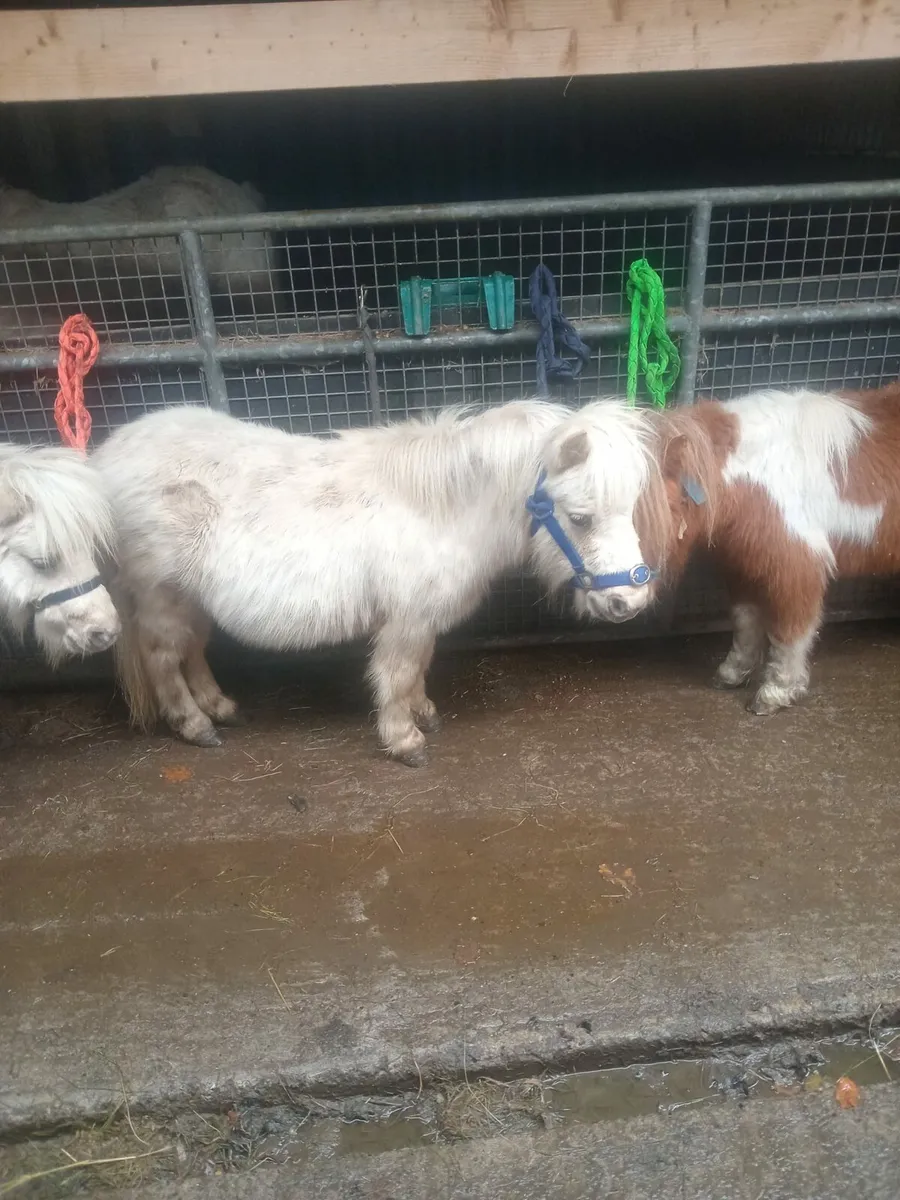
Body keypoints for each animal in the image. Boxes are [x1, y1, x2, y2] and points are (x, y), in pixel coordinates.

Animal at [90, 399, 661, 764]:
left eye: (630, 506)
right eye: (581, 517)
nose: (630, 600)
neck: (440, 509)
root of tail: (110, 457)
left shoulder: (422, 619)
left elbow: (419, 670)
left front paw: (423, 713)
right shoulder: (407, 620)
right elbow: (397, 673)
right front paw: (404, 740)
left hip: (191, 599)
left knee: (193, 650)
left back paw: (221, 708)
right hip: (161, 598)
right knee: (163, 659)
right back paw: (196, 726)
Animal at [528, 383, 900, 716]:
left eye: (642, 515)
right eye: (580, 519)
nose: (621, 603)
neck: (755, 480)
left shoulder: (797, 566)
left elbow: (790, 630)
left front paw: (776, 692)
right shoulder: (741, 564)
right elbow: (745, 620)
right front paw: (733, 672)